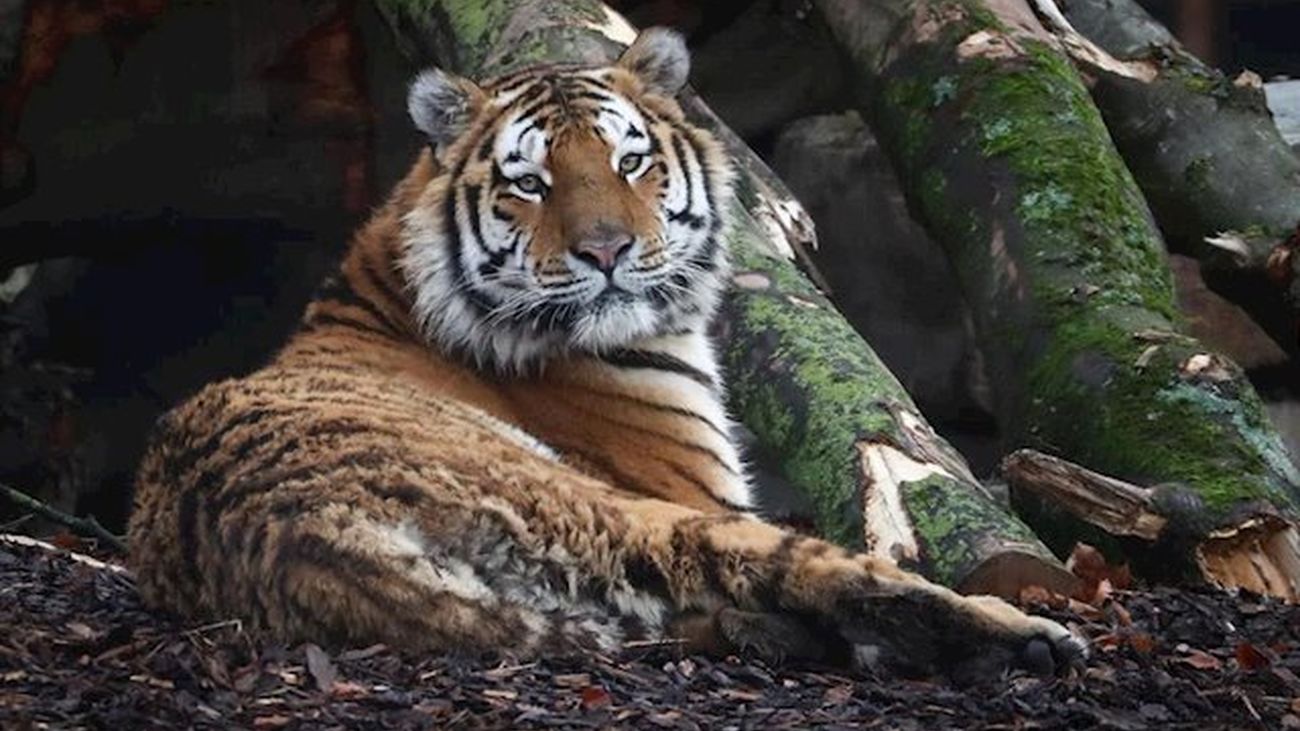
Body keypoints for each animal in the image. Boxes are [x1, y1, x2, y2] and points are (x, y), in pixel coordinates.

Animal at [127, 28, 1086, 680]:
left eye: (630, 162)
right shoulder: (696, 487)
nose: (607, 250)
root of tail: (295, 532)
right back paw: (1025, 635)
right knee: (837, 577)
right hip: (630, 511)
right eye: (529, 181)